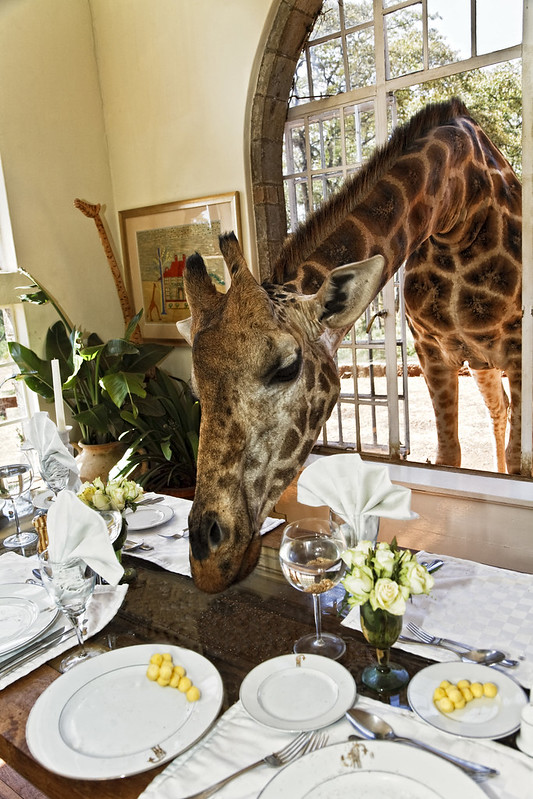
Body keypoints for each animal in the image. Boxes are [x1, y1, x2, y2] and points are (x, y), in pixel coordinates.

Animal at [178, 98, 522, 593]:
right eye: (195, 388)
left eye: (286, 367)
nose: (207, 558)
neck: (457, 208)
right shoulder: (432, 351)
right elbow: (449, 454)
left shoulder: (517, 349)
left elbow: (515, 463)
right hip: (479, 362)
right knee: (499, 412)